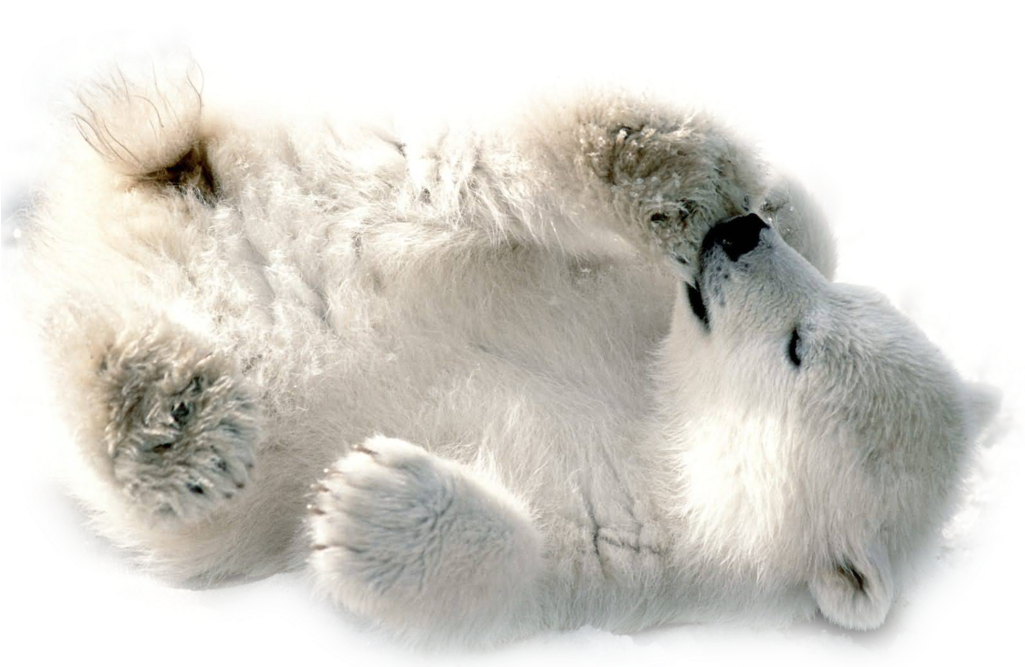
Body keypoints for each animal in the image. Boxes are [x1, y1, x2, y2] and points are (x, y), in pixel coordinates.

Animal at [5, 22, 1004, 654]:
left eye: (799, 346)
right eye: (825, 312)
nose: (735, 237)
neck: (659, 417)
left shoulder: (646, 552)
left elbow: (506, 578)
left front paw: (363, 504)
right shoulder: (632, 309)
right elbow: (800, 227)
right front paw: (754, 197)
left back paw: (166, 414)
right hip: (346, 164)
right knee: (464, 161)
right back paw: (657, 156)